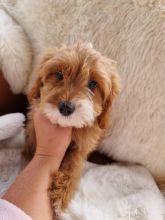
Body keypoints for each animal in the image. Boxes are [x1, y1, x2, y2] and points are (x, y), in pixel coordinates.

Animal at [22, 42, 120, 217]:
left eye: (93, 84)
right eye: (59, 75)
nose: (66, 107)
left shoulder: (83, 144)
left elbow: (73, 162)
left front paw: (61, 196)